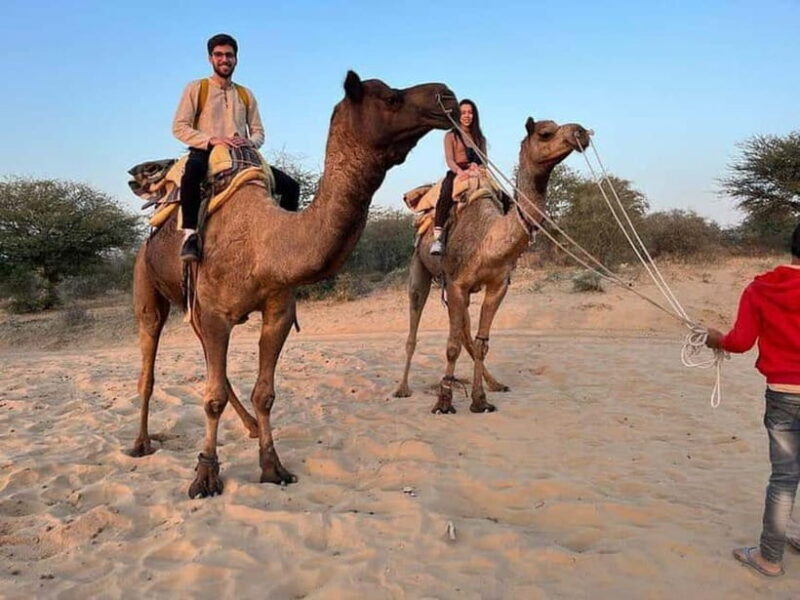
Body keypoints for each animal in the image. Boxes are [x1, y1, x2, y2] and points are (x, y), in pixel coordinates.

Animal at [131, 71, 457, 498]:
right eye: (390, 98)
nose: (447, 96)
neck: (263, 241)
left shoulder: (278, 310)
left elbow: (264, 393)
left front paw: (273, 467)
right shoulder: (217, 312)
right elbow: (212, 398)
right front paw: (205, 476)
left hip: (196, 309)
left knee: (212, 365)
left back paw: (251, 427)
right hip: (147, 284)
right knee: (150, 365)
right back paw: (140, 444)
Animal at [393, 117, 590, 413]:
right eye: (545, 132)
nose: (581, 131)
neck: (488, 239)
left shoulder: (497, 285)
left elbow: (480, 343)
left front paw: (480, 400)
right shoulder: (457, 283)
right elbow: (451, 346)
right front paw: (443, 403)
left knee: (466, 334)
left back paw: (495, 384)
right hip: (420, 266)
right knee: (414, 325)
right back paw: (402, 389)